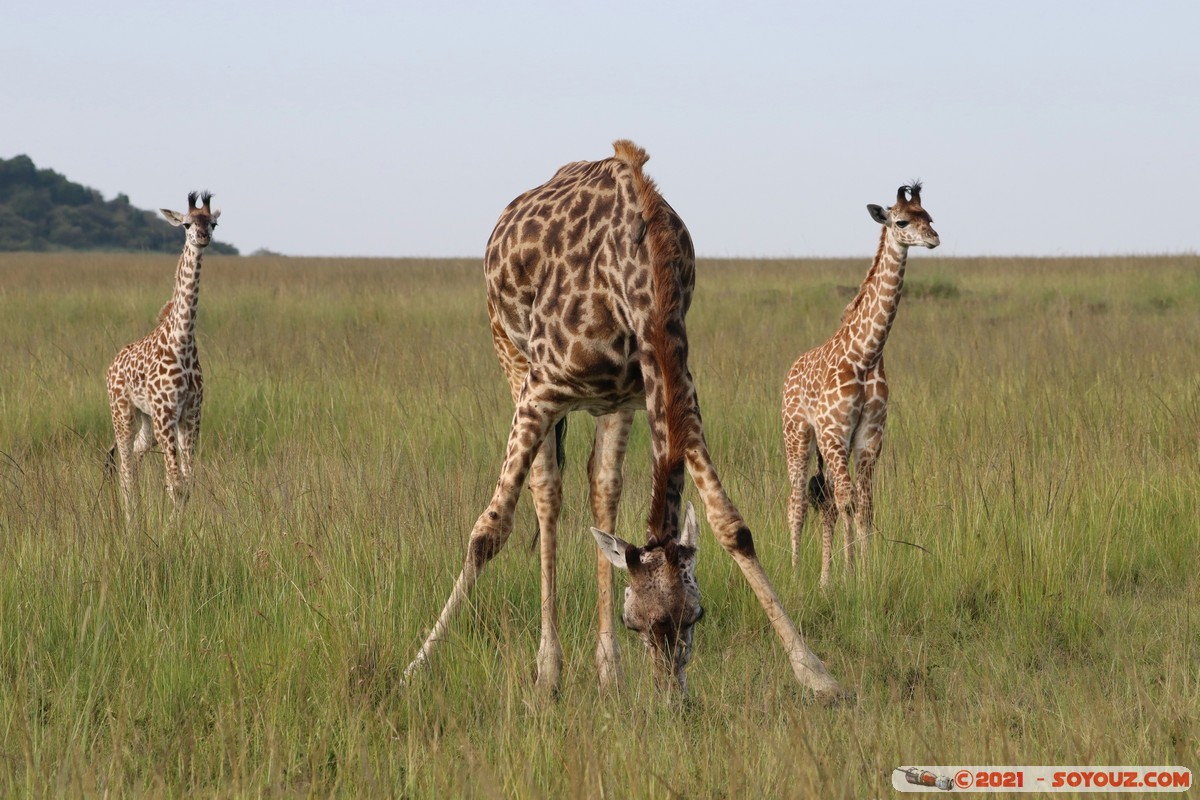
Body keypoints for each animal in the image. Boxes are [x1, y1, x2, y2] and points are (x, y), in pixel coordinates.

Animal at [408, 139, 840, 700]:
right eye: (637, 623)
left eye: (697, 615)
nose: (673, 698)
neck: (638, 273)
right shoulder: (539, 390)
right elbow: (489, 531)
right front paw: (416, 666)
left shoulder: (675, 399)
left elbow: (732, 526)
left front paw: (816, 674)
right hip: (511, 357)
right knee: (546, 490)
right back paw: (549, 671)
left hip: (614, 405)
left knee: (602, 487)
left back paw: (607, 671)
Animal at [782, 185, 940, 587]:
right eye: (901, 222)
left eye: (928, 217)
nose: (934, 238)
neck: (866, 354)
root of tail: (790, 372)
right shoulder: (835, 432)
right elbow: (847, 500)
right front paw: (847, 573)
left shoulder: (870, 436)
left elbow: (865, 505)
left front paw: (863, 574)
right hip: (798, 435)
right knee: (798, 501)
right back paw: (795, 573)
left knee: (825, 502)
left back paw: (822, 575)